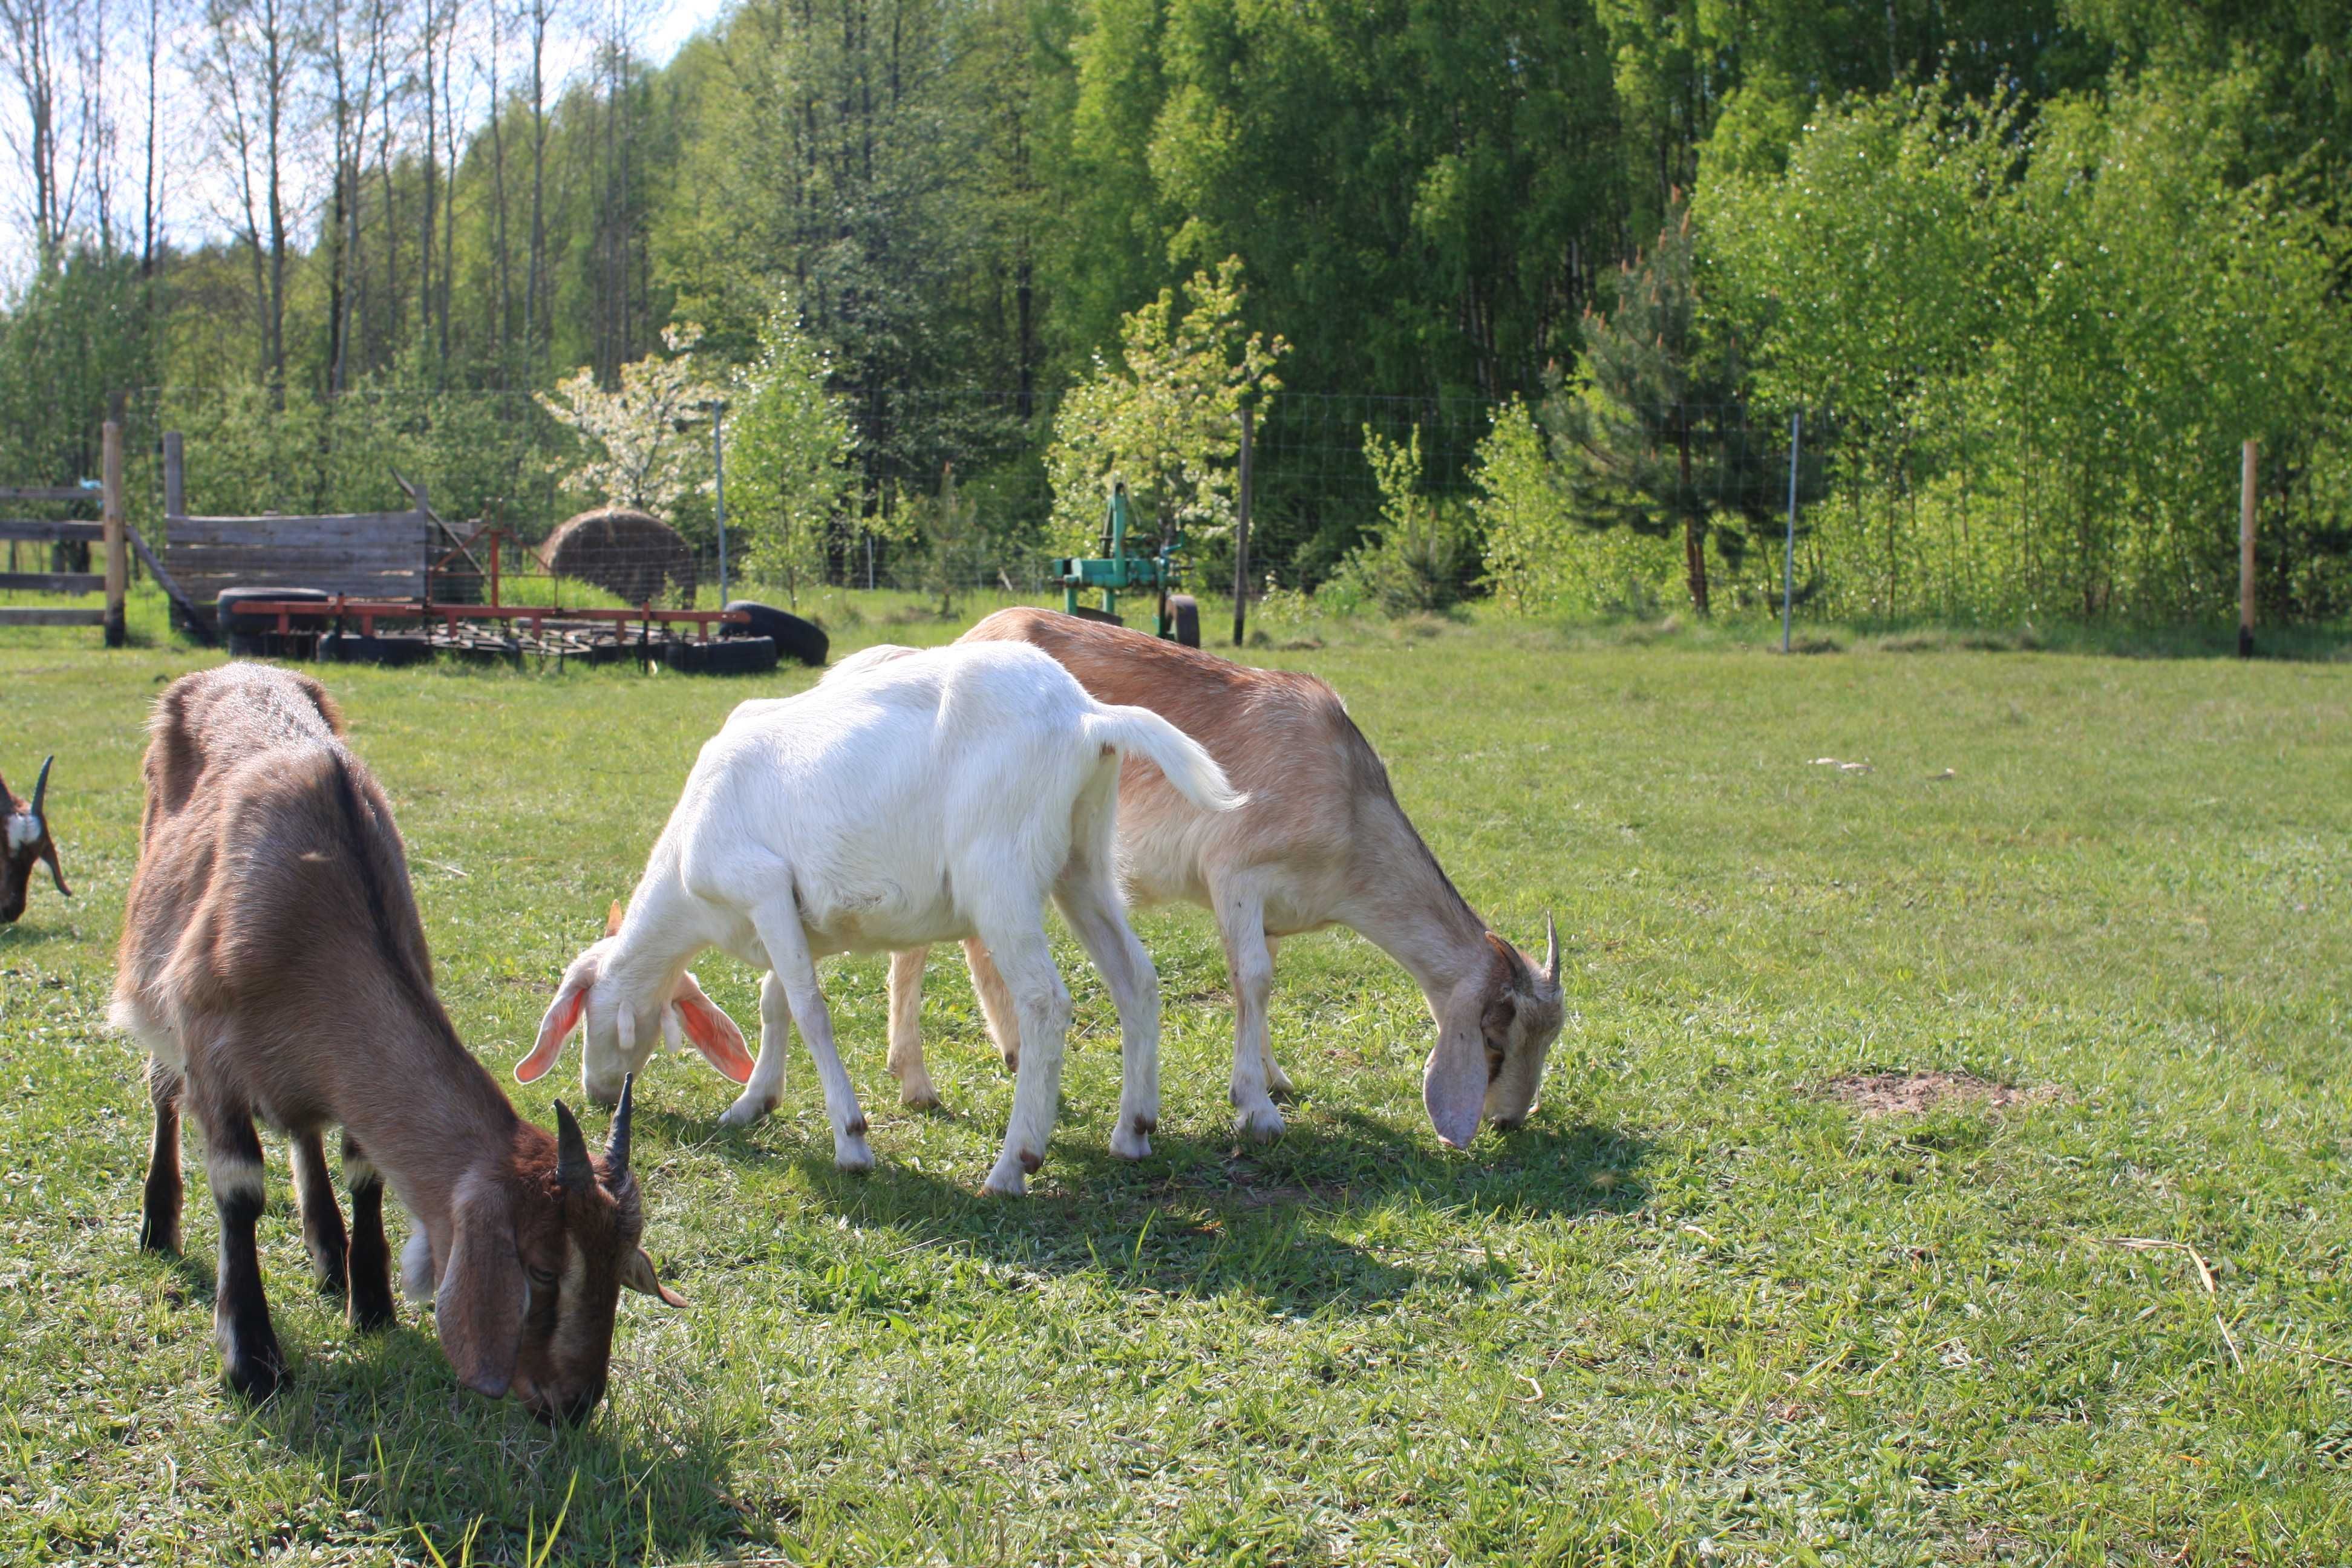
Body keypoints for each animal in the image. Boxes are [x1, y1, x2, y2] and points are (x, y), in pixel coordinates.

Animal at [111, 662, 682, 1420]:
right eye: (539, 1269)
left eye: (621, 1266)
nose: (574, 1402)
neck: (316, 915)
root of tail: (231, 669)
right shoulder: (208, 1041)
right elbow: (237, 1190)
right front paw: (253, 1360)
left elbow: (365, 1169)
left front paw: (373, 1304)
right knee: (162, 1094)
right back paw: (159, 1224)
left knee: (304, 1128)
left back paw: (329, 1255)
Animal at [520, 644, 1251, 1194]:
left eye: (581, 1014)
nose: (594, 1091)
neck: (684, 874)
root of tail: (1088, 716)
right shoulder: (792, 913)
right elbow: (774, 1001)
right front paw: (753, 1102)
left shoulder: (759, 885)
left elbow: (809, 1009)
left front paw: (850, 1140)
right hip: (1084, 859)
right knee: (1136, 978)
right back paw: (1134, 1130)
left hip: (999, 874)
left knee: (1047, 1001)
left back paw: (1014, 1164)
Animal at [884, 611, 1561, 1152]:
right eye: (1495, 1039)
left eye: (1547, 1040)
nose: (1508, 1121)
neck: (1346, 802)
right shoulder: (1235, 869)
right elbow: (1254, 978)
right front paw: (1254, 1108)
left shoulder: (1277, 906)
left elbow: (1264, 982)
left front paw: (1275, 1078)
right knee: (913, 952)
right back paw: (918, 1084)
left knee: (976, 945)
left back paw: (1013, 1050)